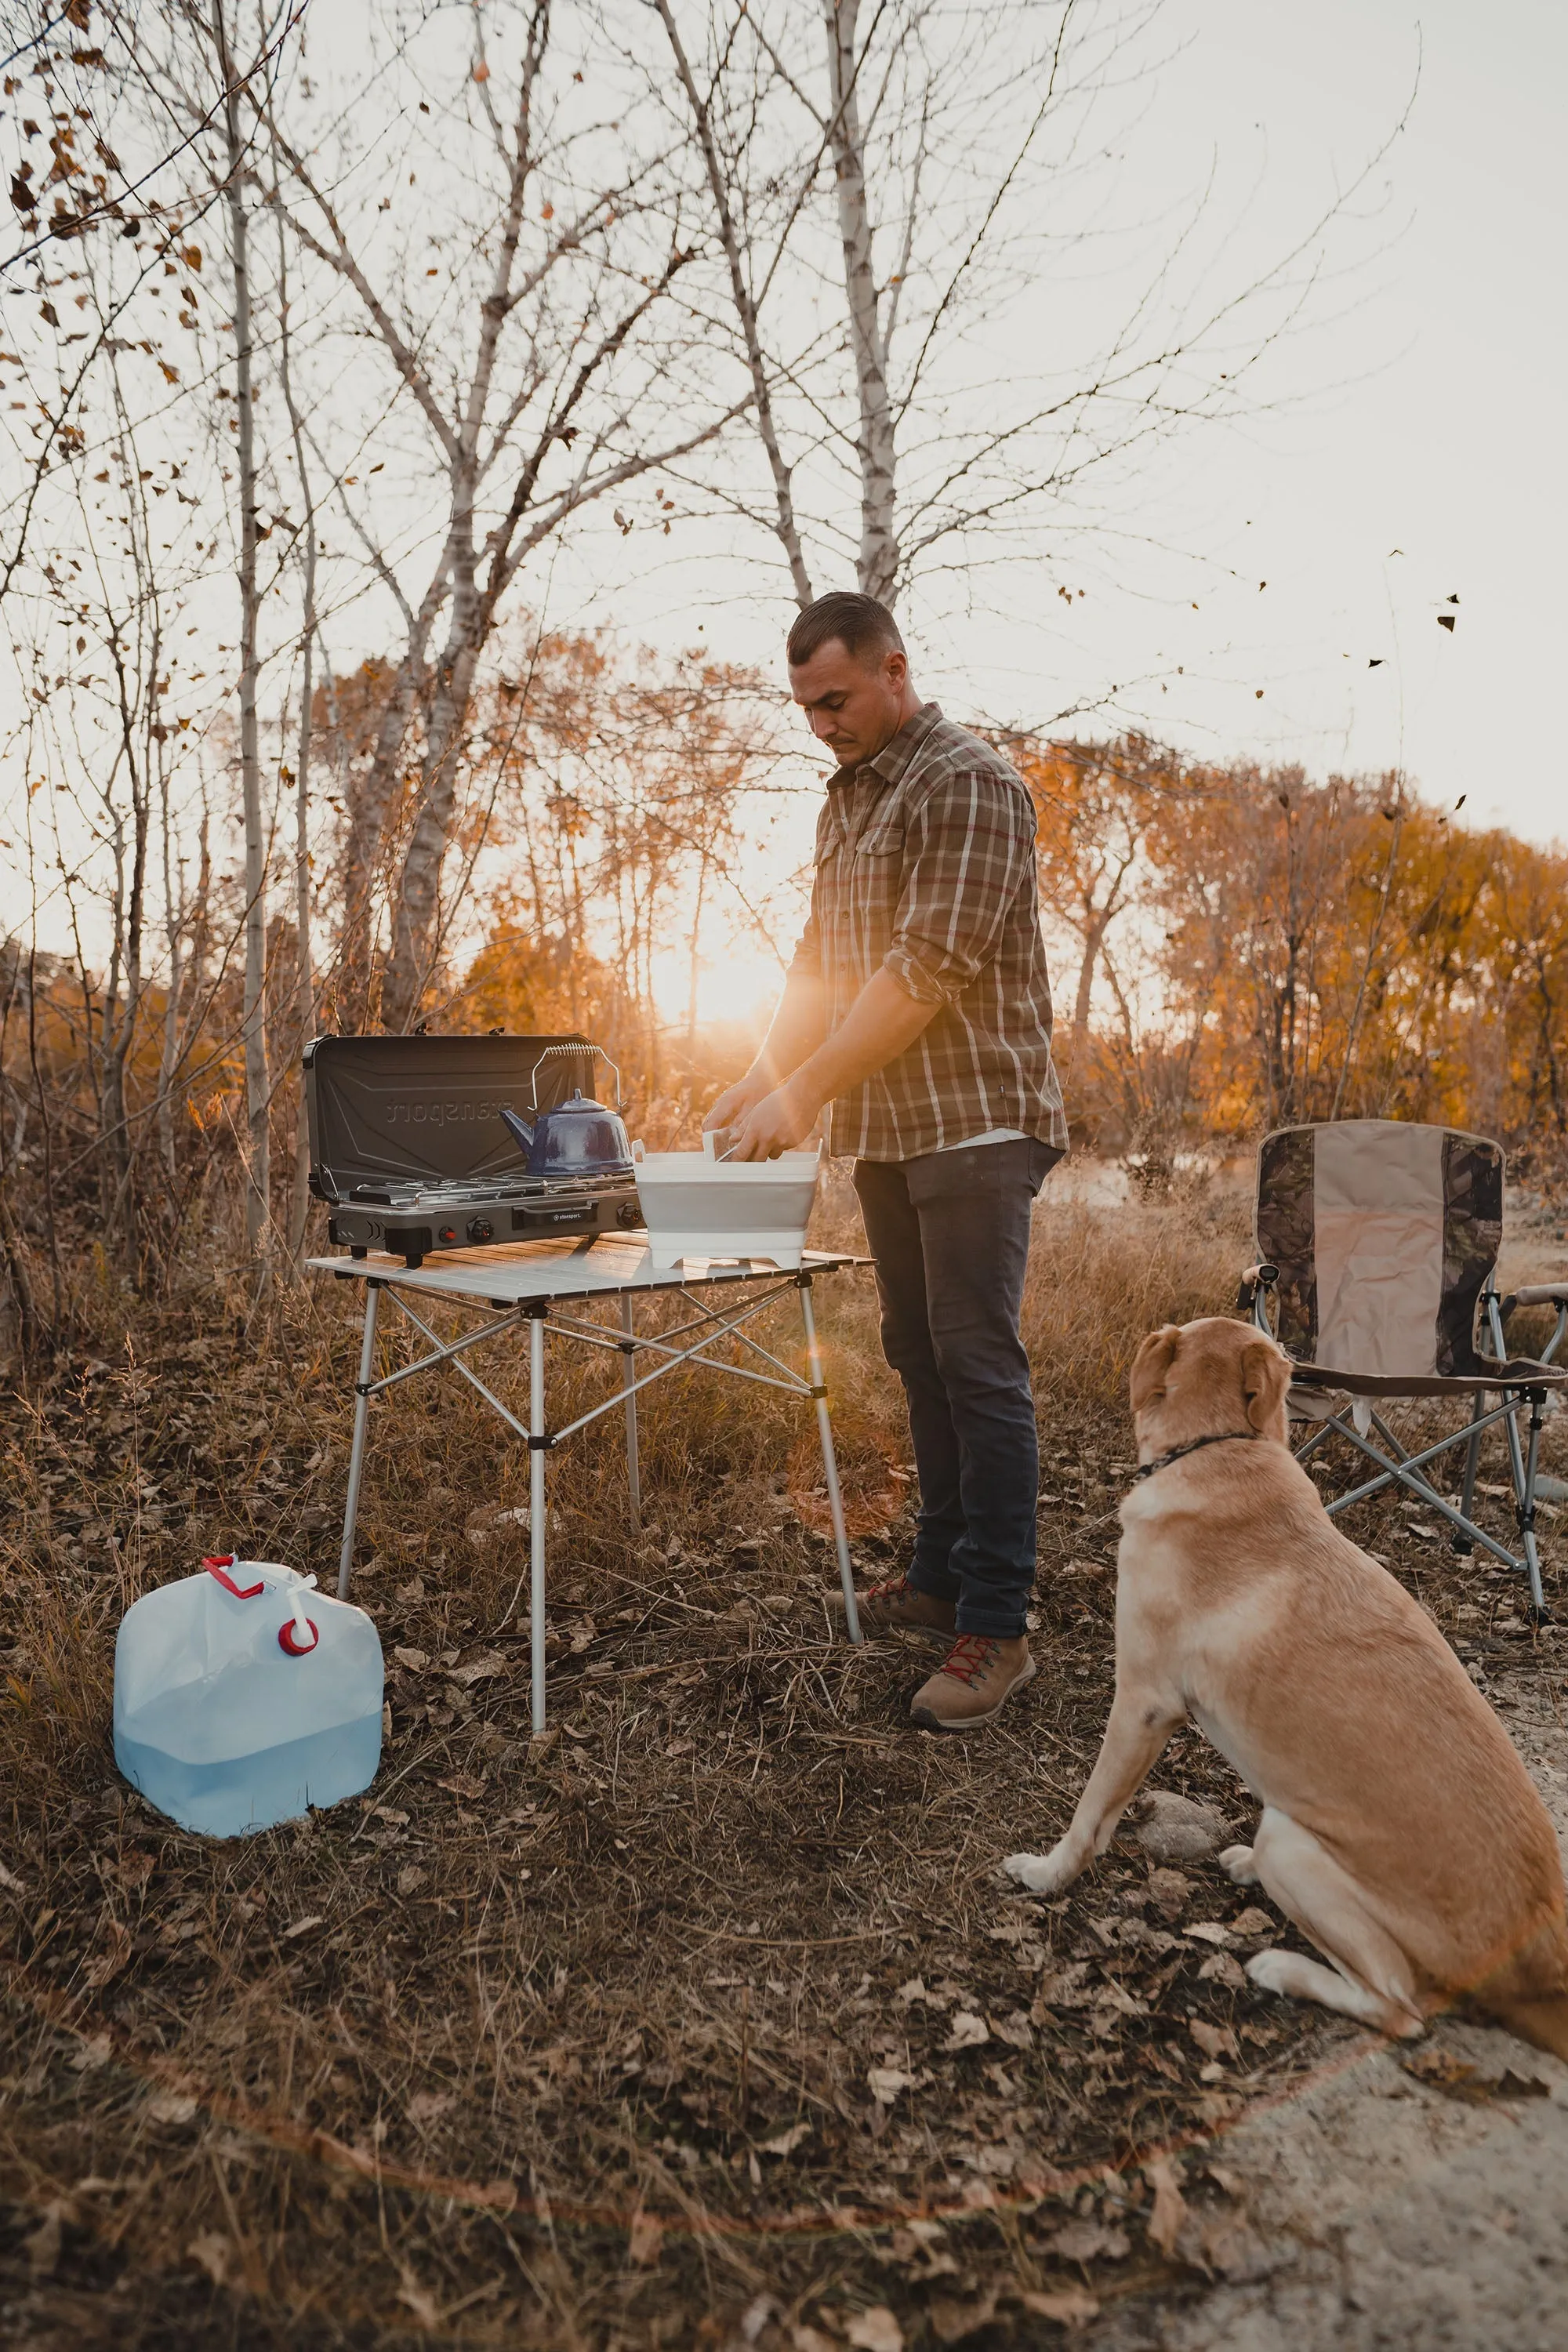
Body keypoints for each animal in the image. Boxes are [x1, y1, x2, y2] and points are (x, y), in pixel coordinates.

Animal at [1006, 1317, 1568, 2051]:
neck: (1219, 1447)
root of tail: (1539, 1969)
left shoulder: (1143, 1705)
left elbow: (1089, 1815)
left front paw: (1047, 1875)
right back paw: (1245, 1869)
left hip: (1293, 1846)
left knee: (1399, 2010)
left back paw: (1280, 1967)